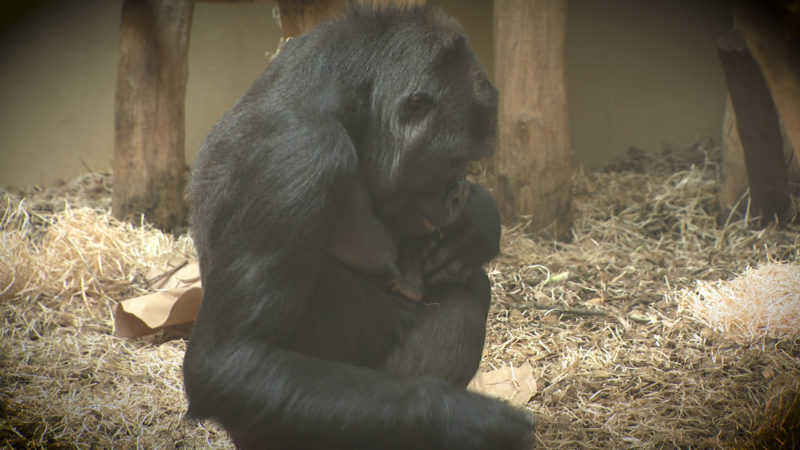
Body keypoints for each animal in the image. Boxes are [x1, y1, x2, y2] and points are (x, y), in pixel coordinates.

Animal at [182, 4, 536, 450]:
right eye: (456, 160)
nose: (457, 193)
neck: (347, 103)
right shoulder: (301, 159)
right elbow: (230, 364)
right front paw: (465, 421)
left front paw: (475, 225)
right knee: (467, 303)